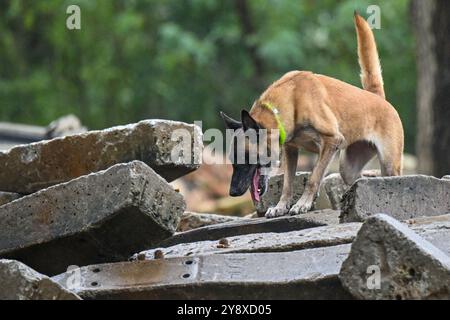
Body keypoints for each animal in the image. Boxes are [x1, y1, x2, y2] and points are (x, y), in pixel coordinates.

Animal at [221, 12, 404, 218]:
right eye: (232, 161)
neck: (285, 104)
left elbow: (313, 178)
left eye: (245, 157)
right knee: (359, 178)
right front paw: (281, 206)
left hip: (389, 164)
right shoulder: (291, 150)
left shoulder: (332, 141)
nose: (232, 192)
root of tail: (376, 97)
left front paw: (303, 203)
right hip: (348, 168)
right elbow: (287, 184)